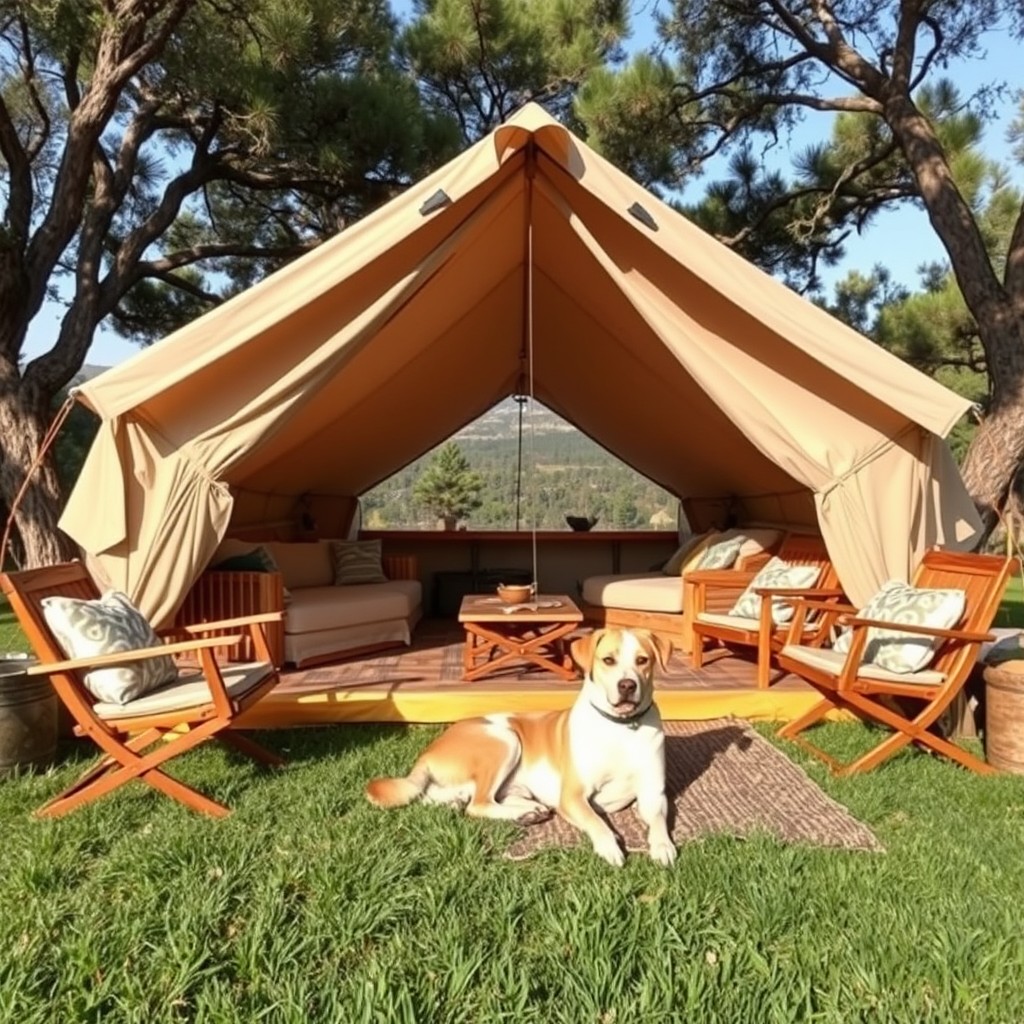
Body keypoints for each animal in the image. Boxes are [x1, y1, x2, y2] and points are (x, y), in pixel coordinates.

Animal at [364, 622, 675, 864]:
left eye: (642, 660)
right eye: (608, 660)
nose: (627, 685)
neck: (622, 728)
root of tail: (429, 750)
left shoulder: (653, 794)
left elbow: (658, 821)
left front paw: (663, 846)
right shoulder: (572, 796)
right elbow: (596, 821)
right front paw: (609, 846)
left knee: (449, 798)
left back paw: (528, 811)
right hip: (505, 739)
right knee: (478, 803)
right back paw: (523, 812)